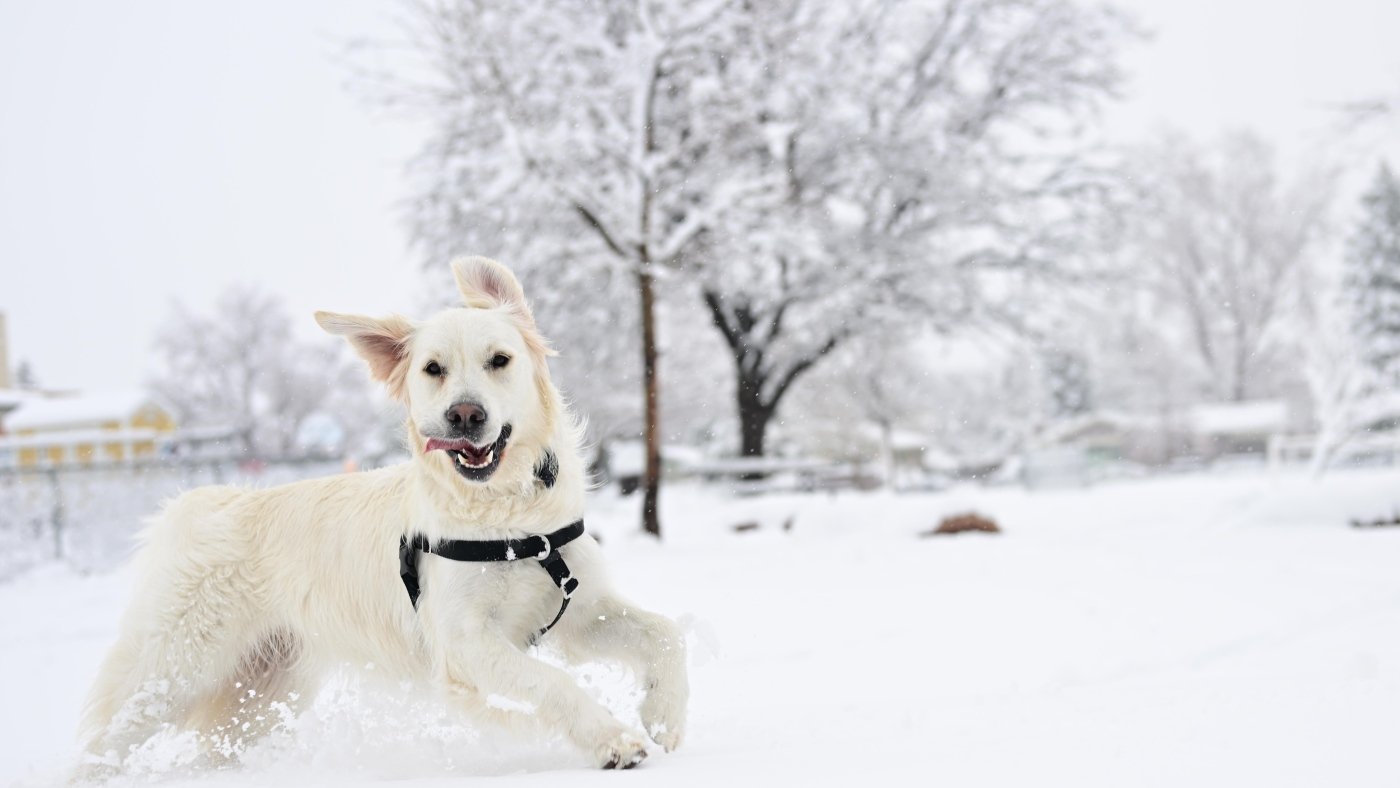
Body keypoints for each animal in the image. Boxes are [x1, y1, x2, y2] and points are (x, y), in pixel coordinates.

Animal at [78, 257, 688, 778]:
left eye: (500, 360)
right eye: (433, 369)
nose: (465, 415)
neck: (512, 523)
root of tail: (201, 503)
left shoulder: (581, 611)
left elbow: (665, 632)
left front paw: (665, 715)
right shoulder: (464, 642)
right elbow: (551, 683)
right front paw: (613, 740)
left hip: (264, 687)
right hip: (171, 670)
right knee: (102, 739)